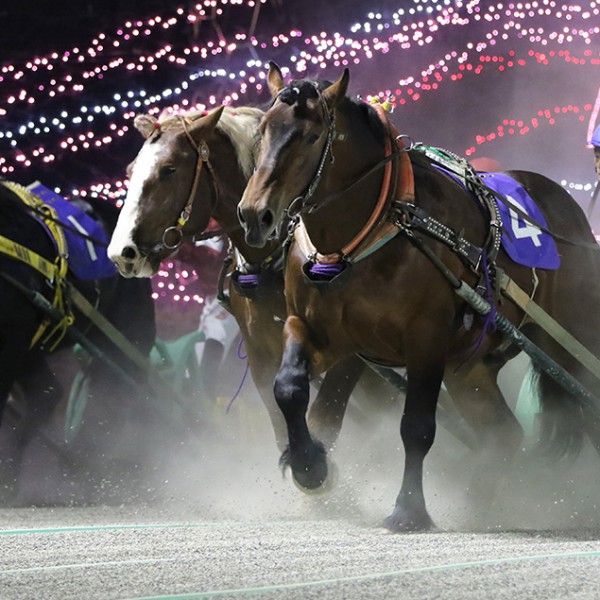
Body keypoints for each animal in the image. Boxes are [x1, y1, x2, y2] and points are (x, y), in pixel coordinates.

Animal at [105, 104, 412, 460]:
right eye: (130, 171)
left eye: (169, 169)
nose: (121, 252)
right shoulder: (264, 360)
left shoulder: (350, 353)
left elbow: (327, 419)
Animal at [238, 62, 600, 528]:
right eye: (264, 130)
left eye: (311, 136)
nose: (254, 215)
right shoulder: (320, 331)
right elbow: (290, 389)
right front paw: (309, 466)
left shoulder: (425, 337)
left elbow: (416, 426)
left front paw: (409, 507)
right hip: (471, 369)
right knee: (503, 433)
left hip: (570, 338)